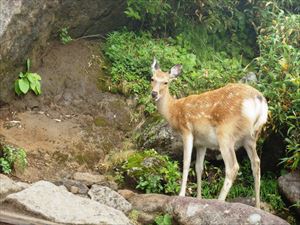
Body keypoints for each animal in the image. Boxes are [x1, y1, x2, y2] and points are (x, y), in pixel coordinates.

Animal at [151, 58, 268, 207]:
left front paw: (181, 194)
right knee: (256, 163)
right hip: (251, 137)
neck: (174, 111)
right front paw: (199, 198)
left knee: (233, 167)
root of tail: (260, 102)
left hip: (226, 133)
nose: (154, 94)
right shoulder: (202, 142)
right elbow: (199, 167)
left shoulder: (186, 130)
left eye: (166, 82)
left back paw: (219, 201)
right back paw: (257, 206)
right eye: (152, 78)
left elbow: (186, 162)